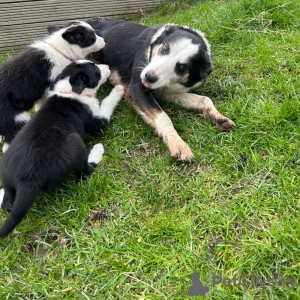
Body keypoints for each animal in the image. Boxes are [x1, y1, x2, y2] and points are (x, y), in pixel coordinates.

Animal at [0, 59, 124, 237]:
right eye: (96, 72)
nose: (107, 66)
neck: (70, 91)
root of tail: (26, 179)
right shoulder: (99, 121)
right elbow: (108, 101)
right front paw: (119, 89)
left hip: (6, 171)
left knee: (7, 204)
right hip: (75, 142)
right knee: (84, 172)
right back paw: (96, 152)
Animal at [88, 18, 236, 161]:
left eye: (183, 67)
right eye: (165, 48)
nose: (148, 77)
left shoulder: (168, 91)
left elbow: (205, 99)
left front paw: (218, 116)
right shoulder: (136, 89)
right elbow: (163, 117)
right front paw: (177, 144)